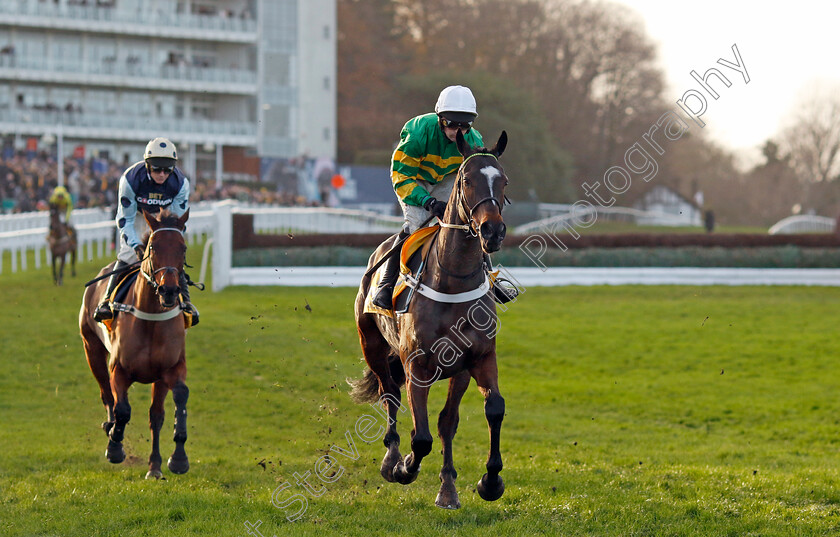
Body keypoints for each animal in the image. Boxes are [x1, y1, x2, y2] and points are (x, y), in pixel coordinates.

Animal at [78, 208, 190, 478]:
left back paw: (155, 467)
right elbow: (122, 409)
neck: (150, 318)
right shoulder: (118, 369)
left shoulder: (171, 369)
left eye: (182, 248)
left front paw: (177, 458)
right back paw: (109, 427)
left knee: (155, 415)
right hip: (91, 349)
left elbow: (177, 398)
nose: (169, 290)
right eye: (153, 247)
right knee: (106, 395)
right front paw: (115, 447)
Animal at [350, 129, 508, 506]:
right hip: (372, 346)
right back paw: (391, 458)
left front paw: (490, 481)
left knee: (446, 421)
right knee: (390, 395)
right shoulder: (416, 365)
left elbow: (492, 408)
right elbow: (420, 437)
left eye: (505, 181)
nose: (492, 231)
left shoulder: (479, 357)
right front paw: (404, 467)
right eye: (466, 180)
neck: (452, 280)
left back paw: (447, 488)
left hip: (457, 372)